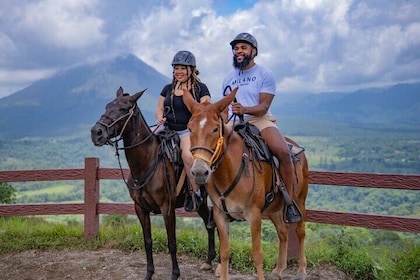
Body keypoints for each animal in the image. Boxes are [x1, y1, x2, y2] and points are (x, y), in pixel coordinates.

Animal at [91, 87, 217, 280]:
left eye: (123, 109)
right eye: (107, 106)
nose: (96, 132)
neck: (147, 162)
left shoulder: (167, 208)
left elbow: (171, 243)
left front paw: (175, 274)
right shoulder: (140, 208)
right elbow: (147, 241)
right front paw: (149, 273)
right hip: (201, 203)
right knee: (209, 222)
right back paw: (209, 261)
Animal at [184, 88, 308, 280]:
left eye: (215, 129)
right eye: (190, 128)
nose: (199, 172)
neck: (230, 170)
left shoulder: (254, 215)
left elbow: (257, 254)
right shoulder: (220, 215)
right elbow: (225, 252)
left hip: (300, 200)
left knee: (300, 232)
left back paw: (301, 270)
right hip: (274, 208)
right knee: (283, 232)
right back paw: (279, 269)